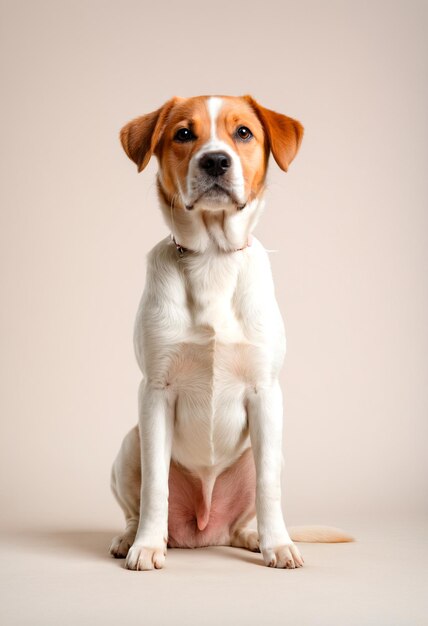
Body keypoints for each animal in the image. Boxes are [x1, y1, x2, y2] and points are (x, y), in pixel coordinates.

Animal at [109, 95, 352, 568]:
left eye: (243, 133)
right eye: (184, 133)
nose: (216, 161)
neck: (212, 260)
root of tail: (204, 531)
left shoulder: (265, 392)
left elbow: (269, 487)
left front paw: (279, 545)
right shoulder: (155, 392)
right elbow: (155, 486)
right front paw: (147, 546)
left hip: (266, 450)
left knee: (249, 509)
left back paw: (256, 537)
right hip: (130, 443)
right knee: (137, 502)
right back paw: (131, 538)